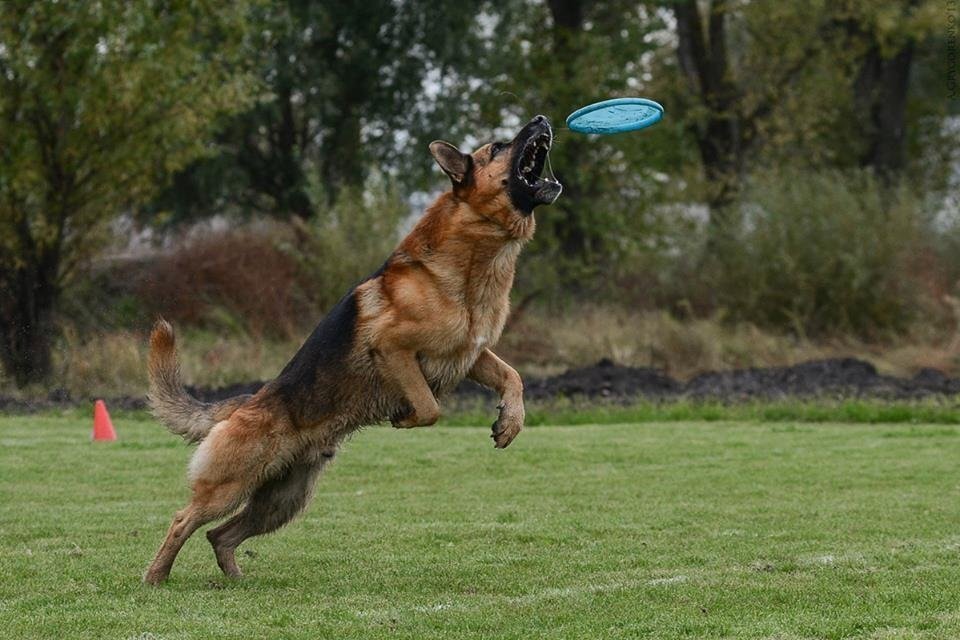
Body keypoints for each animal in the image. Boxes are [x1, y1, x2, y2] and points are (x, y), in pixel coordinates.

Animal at [143, 114, 564, 584]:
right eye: (498, 147)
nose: (542, 119)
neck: (471, 260)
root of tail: (248, 402)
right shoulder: (393, 347)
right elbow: (430, 406)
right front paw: (406, 417)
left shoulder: (471, 355)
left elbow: (514, 376)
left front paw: (510, 423)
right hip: (229, 487)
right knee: (184, 519)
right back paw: (156, 577)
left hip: (282, 502)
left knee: (219, 534)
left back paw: (233, 578)